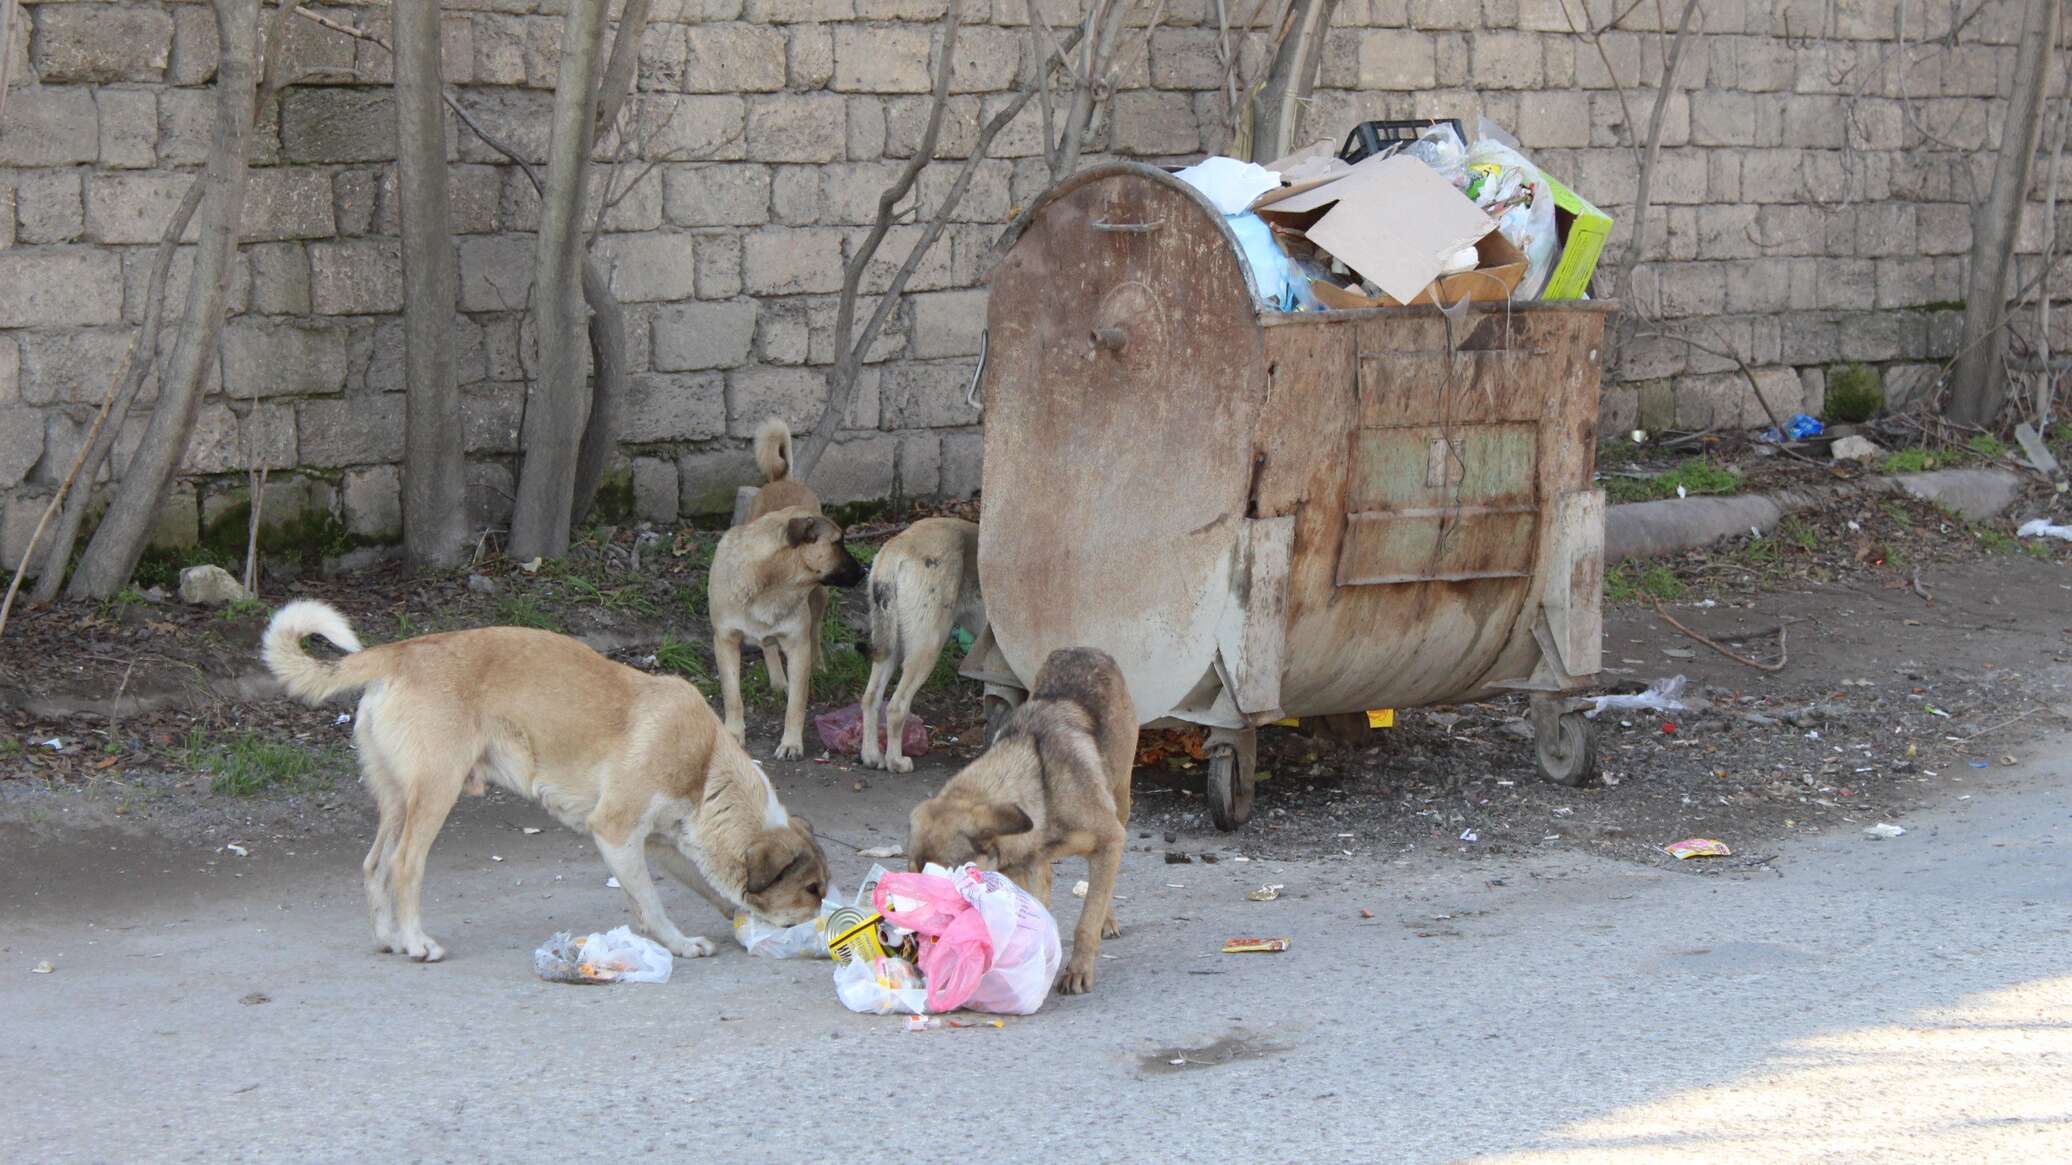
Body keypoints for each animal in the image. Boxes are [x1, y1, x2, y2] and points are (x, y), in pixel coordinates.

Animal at [263, 597, 828, 961]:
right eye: (812, 890)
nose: (827, 924)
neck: (707, 766)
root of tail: (399, 652)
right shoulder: (616, 833)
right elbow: (651, 902)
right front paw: (681, 944)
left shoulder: (661, 843)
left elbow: (695, 889)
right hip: (435, 794)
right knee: (403, 866)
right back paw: (417, 943)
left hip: (398, 800)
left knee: (374, 863)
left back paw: (389, 938)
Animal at [708, 505, 861, 758]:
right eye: (838, 542)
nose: (865, 571)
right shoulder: (725, 641)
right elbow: (732, 696)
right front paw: (733, 733)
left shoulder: (798, 647)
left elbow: (796, 706)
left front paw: (791, 743)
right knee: (768, 645)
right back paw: (779, 679)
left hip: (819, 599)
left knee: (815, 632)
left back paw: (817, 666)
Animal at [857, 516, 986, 771]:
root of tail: (897, 544)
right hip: (928, 647)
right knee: (896, 707)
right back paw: (896, 762)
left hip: (891, 647)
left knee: (870, 698)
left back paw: (871, 756)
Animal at [907, 642, 1135, 986]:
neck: (1040, 790)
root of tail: (1082, 648)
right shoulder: (1016, 867)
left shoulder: (1109, 840)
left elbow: (1087, 920)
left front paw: (1079, 969)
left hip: (1121, 798)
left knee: (1102, 886)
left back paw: (1106, 920)